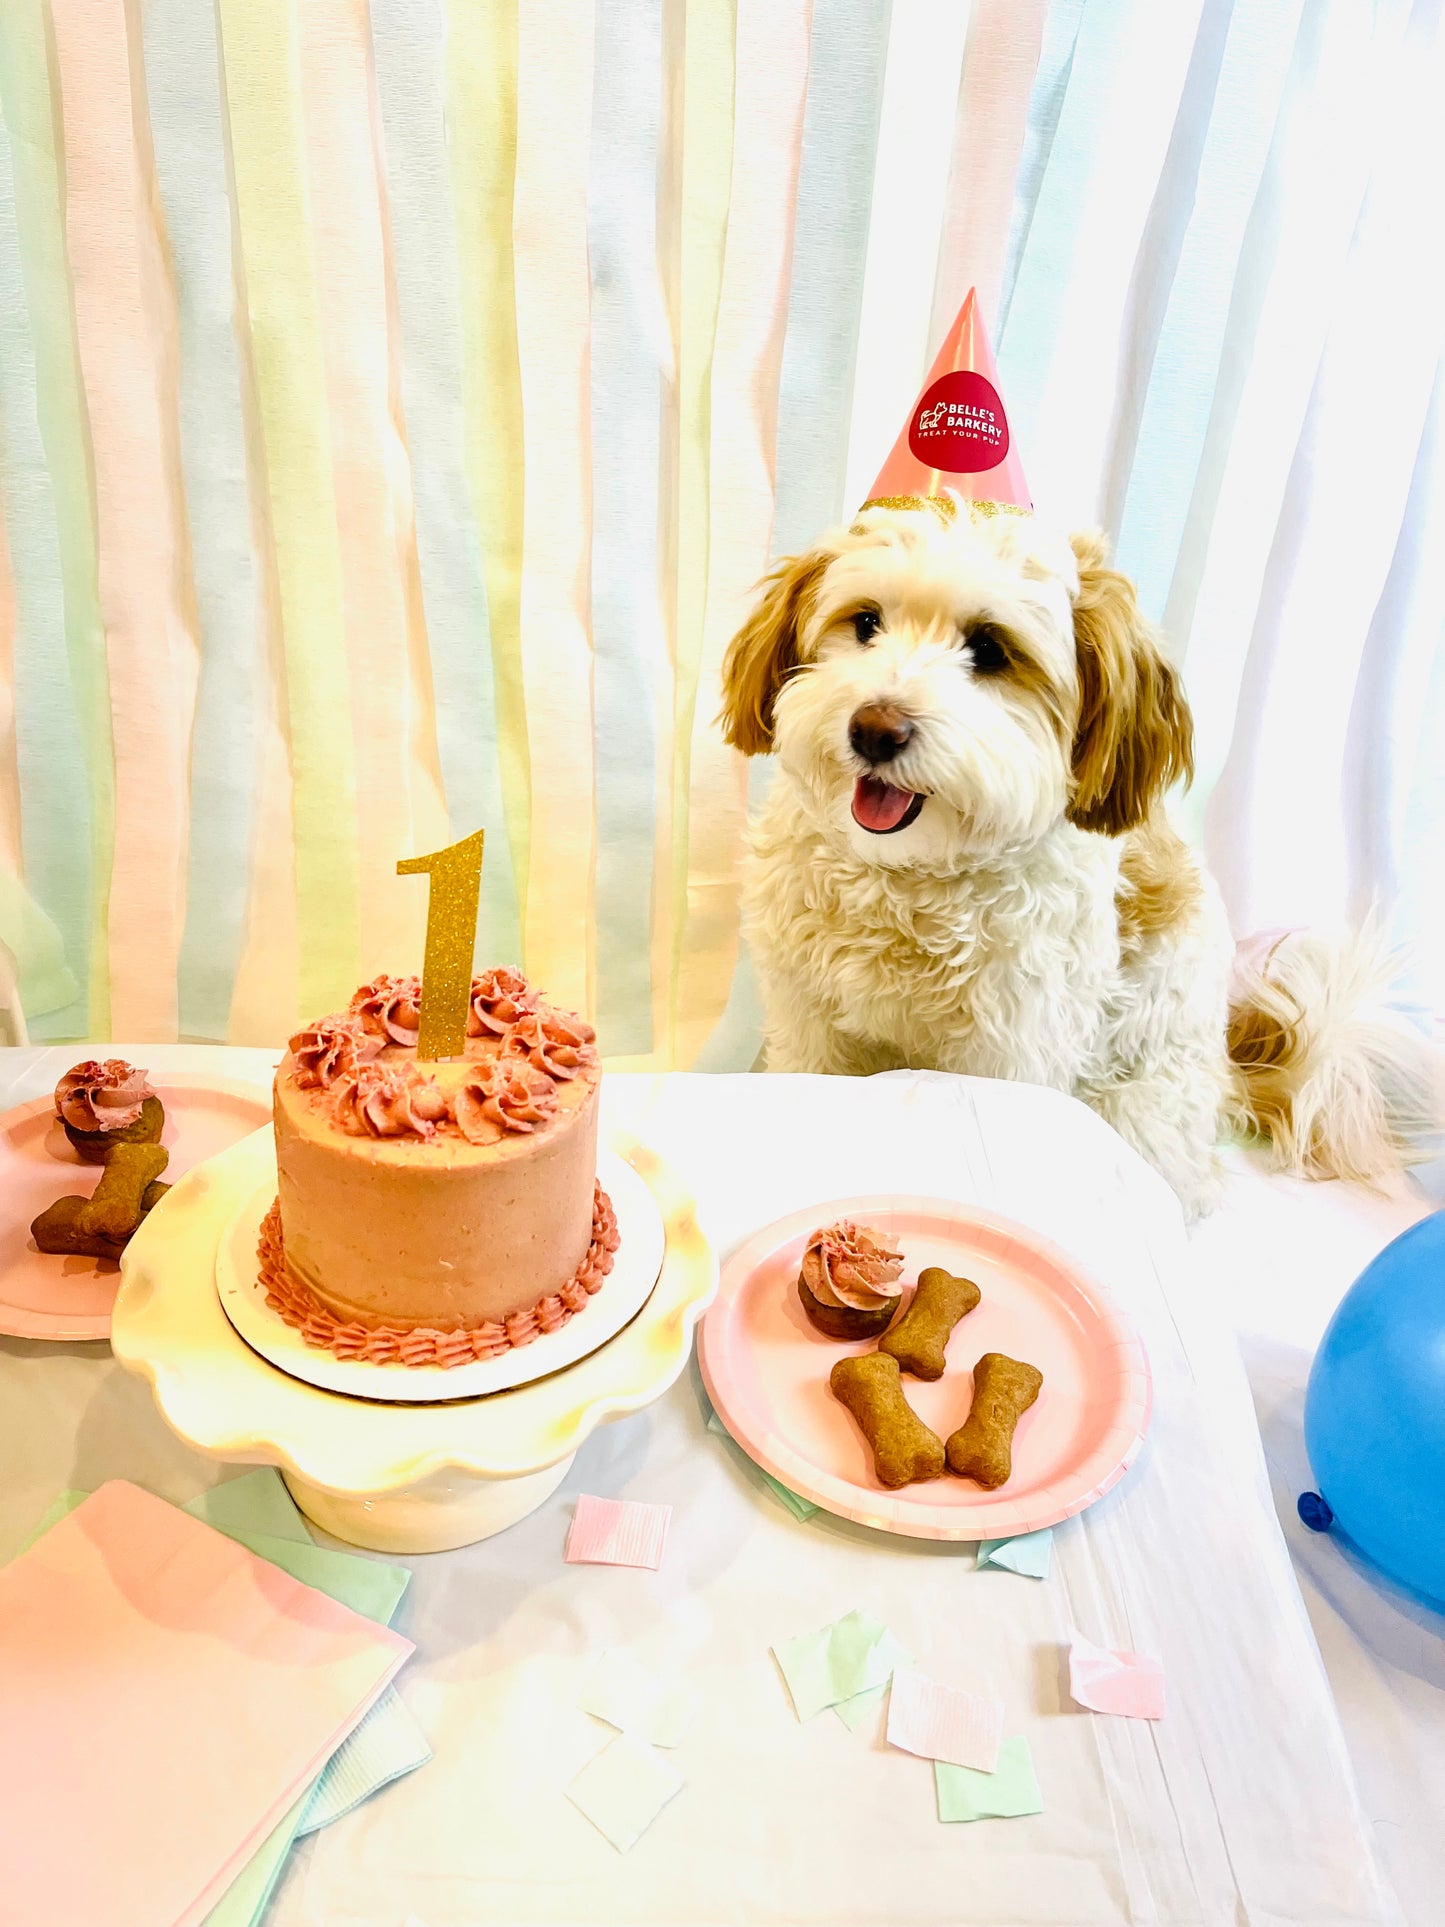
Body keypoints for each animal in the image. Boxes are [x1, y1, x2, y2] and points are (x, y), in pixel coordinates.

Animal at [724, 501, 1441, 1217]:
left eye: (990, 649)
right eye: (866, 622)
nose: (875, 729)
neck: (910, 879)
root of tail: (1231, 1077)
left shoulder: (1014, 1050)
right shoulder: (808, 1015)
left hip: (1139, 1109)